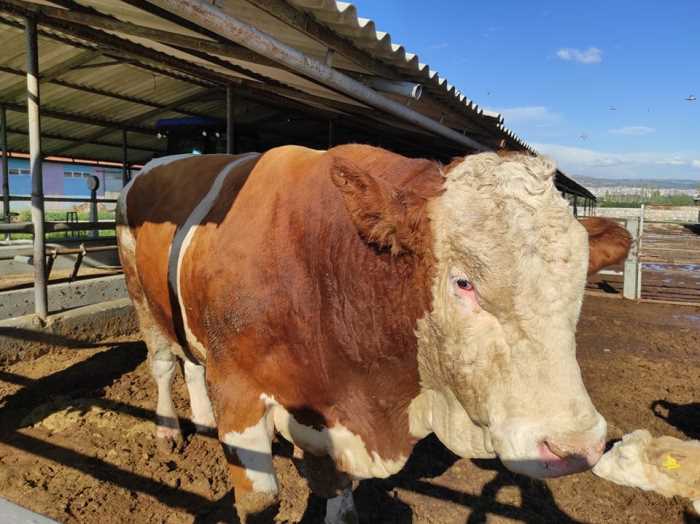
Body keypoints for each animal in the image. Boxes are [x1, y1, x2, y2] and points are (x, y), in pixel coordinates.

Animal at [117, 145, 632, 520]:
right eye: (463, 282)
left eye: (578, 282)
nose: (575, 447)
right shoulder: (238, 390)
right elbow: (261, 505)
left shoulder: (332, 419)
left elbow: (339, 501)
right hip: (141, 297)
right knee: (163, 363)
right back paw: (168, 431)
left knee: (190, 361)